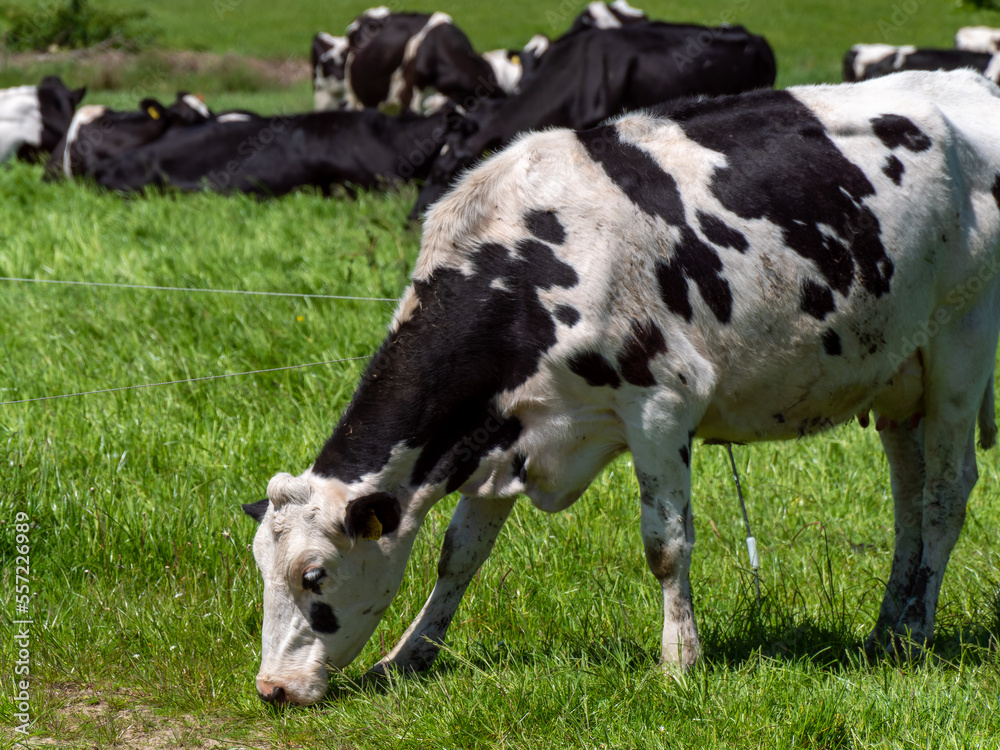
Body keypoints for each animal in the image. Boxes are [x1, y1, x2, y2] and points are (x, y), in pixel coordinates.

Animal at [242, 69, 1000, 704]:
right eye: (260, 571)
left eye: (314, 575)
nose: (273, 688)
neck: (528, 268)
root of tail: (967, 79)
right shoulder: (504, 430)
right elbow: (459, 553)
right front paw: (408, 655)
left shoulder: (662, 402)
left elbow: (665, 544)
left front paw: (680, 661)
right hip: (900, 376)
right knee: (908, 498)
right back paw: (888, 629)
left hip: (961, 346)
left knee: (945, 492)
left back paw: (918, 630)